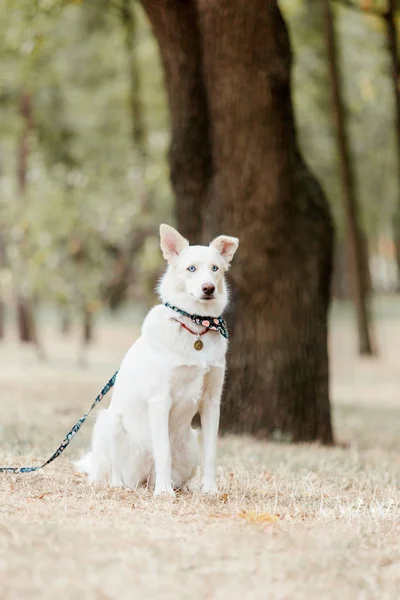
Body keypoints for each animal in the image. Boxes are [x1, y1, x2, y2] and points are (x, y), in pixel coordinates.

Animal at [75, 223, 238, 494]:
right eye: (191, 268)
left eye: (215, 268)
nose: (208, 288)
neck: (196, 327)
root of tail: (142, 480)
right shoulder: (160, 399)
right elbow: (163, 452)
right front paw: (163, 493)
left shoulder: (211, 401)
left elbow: (211, 454)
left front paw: (210, 490)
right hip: (109, 422)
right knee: (114, 472)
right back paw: (129, 485)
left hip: (191, 442)